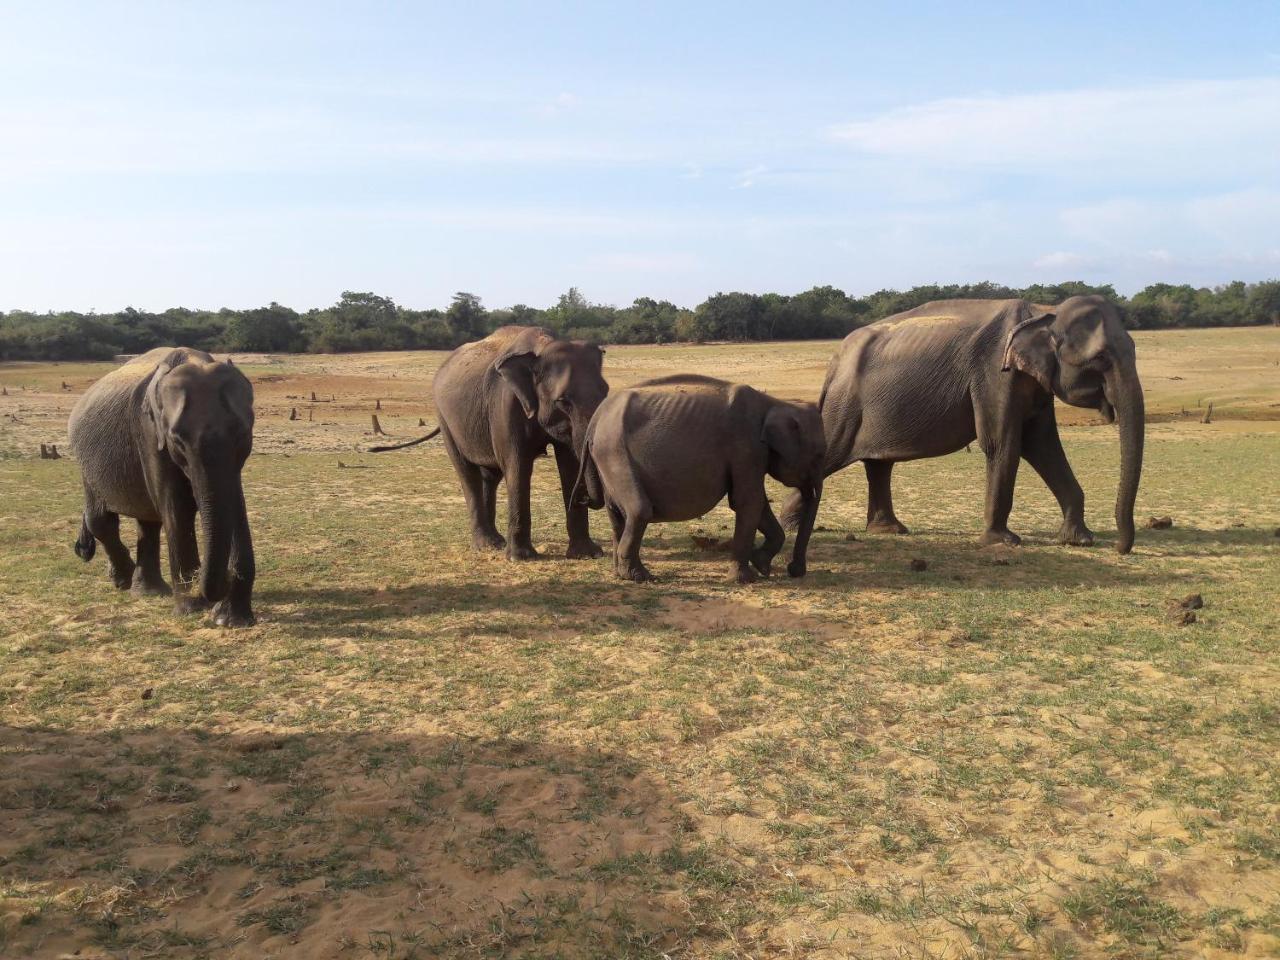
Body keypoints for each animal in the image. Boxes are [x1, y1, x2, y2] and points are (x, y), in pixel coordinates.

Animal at [71, 350, 261, 627]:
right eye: (177, 441)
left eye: (243, 435)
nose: (223, 578)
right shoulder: (149, 433)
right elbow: (177, 509)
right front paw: (192, 608)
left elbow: (235, 504)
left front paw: (229, 619)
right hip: (86, 464)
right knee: (101, 520)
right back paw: (124, 580)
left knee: (147, 523)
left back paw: (147, 590)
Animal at [373, 327, 606, 560]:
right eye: (563, 401)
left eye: (606, 393)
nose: (583, 498)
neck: (543, 346)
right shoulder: (504, 405)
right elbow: (517, 466)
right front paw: (520, 558)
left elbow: (569, 465)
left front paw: (588, 554)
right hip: (446, 419)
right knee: (467, 473)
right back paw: (485, 544)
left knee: (489, 476)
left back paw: (496, 541)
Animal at [573, 376, 829, 586]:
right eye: (818, 456)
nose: (795, 570)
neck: (776, 402)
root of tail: (596, 418)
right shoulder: (746, 447)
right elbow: (748, 503)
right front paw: (744, 580)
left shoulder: (751, 455)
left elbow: (755, 504)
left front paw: (761, 565)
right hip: (615, 453)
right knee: (639, 510)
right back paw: (640, 577)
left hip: (607, 457)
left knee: (617, 513)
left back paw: (620, 574)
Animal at [778, 295, 1152, 555]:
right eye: (1101, 358)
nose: (1121, 548)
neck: (1043, 311)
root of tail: (834, 361)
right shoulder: (993, 374)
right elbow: (1003, 443)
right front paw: (1003, 542)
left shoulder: (1032, 383)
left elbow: (1043, 446)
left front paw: (1079, 540)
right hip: (843, 407)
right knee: (830, 455)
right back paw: (794, 526)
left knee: (879, 464)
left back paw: (889, 530)